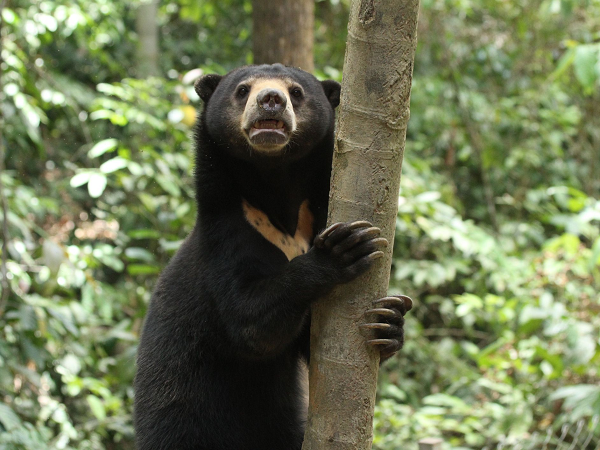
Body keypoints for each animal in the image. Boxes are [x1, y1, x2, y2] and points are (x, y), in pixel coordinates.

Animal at [134, 63, 410, 450]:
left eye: (295, 91)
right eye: (243, 89)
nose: (271, 100)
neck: (275, 187)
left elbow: (310, 340)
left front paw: (389, 321)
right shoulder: (228, 232)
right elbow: (250, 321)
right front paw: (345, 247)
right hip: (181, 422)